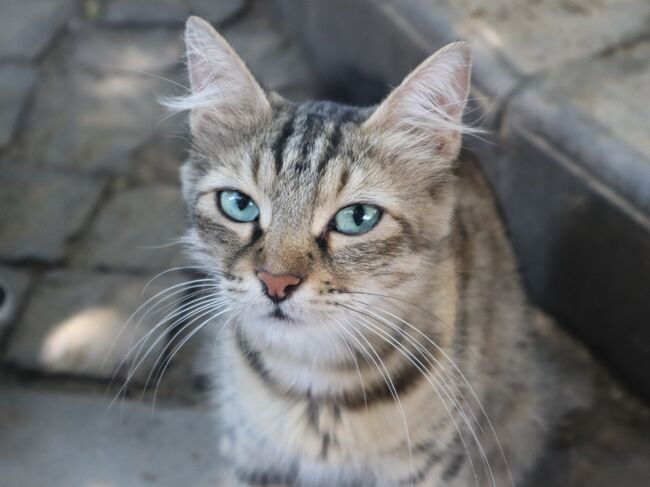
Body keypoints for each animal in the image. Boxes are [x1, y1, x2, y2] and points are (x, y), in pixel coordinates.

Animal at [167, 15, 572, 487]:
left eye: (357, 218)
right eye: (238, 204)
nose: (276, 282)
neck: (312, 386)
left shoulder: (433, 466)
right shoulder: (249, 453)